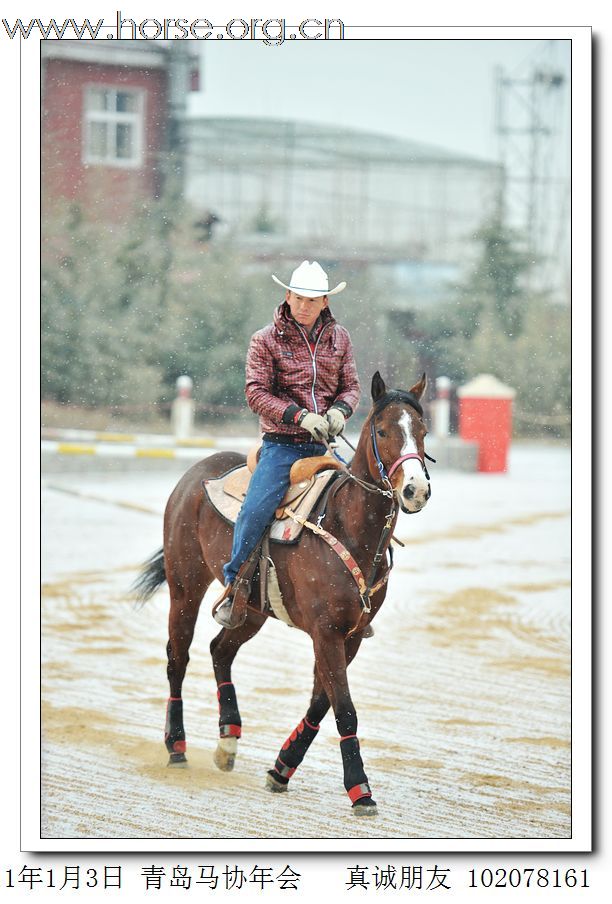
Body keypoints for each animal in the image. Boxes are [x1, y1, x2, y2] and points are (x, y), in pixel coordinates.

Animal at [134, 370, 430, 816]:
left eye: (422, 431)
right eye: (382, 430)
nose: (415, 489)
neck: (345, 524)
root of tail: (195, 474)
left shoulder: (351, 635)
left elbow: (321, 703)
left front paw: (281, 768)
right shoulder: (326, 633)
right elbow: (344, 709)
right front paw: (360, 789)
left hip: (251, 610)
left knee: (220, 650)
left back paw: (228, 739)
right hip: (185, 585)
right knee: (177, 658)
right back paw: (177, 746)